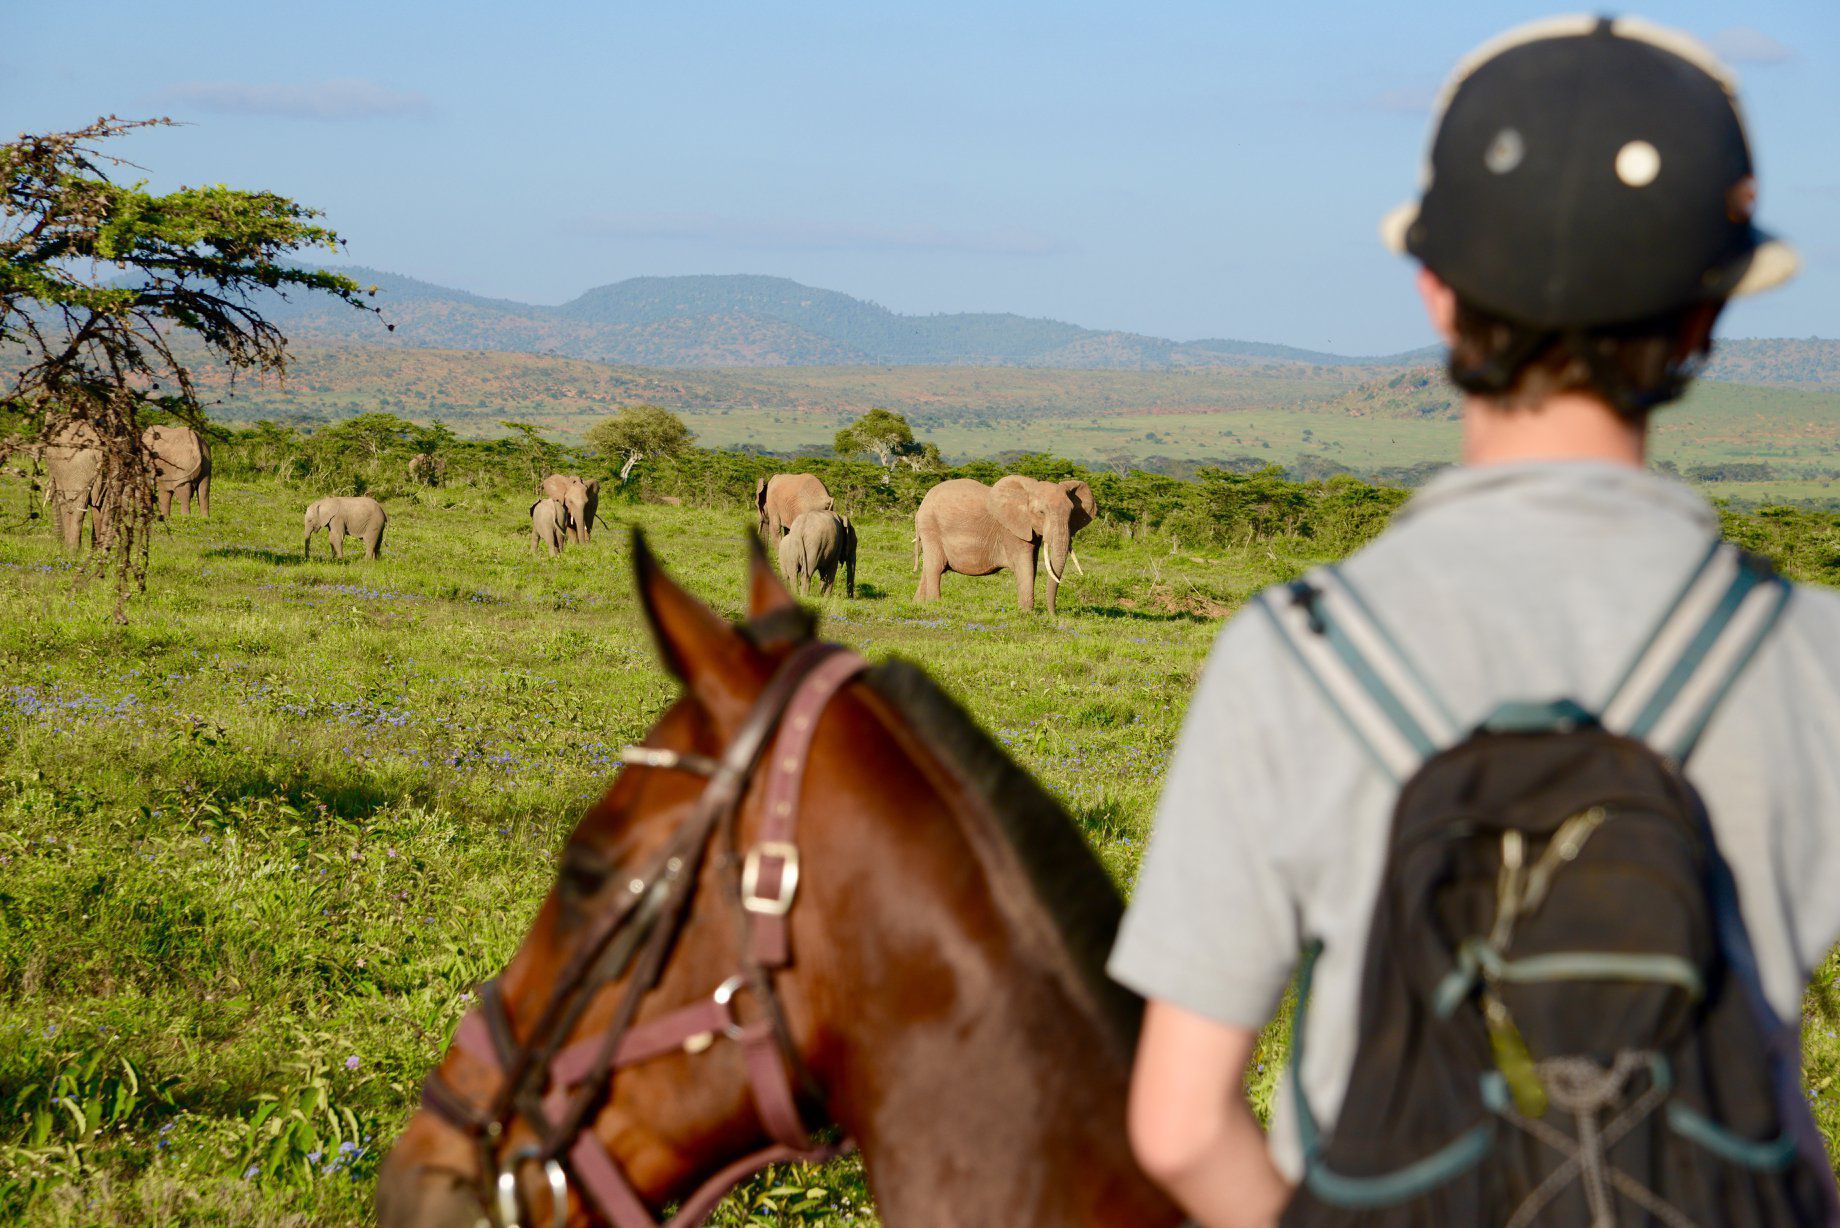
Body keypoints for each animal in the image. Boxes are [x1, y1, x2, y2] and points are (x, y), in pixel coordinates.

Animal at [913, 475, 1096, 614]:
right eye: (1041, 513)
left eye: (1071, 513)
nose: (1054, 615)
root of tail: (923, 502)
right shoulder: (1012, 530)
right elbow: (1025, 566)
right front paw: (1027, 613)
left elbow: (1032, 566)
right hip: (930, 526)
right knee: (936, 567)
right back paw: (935, 605)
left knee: (928, 567)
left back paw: (919, 603)